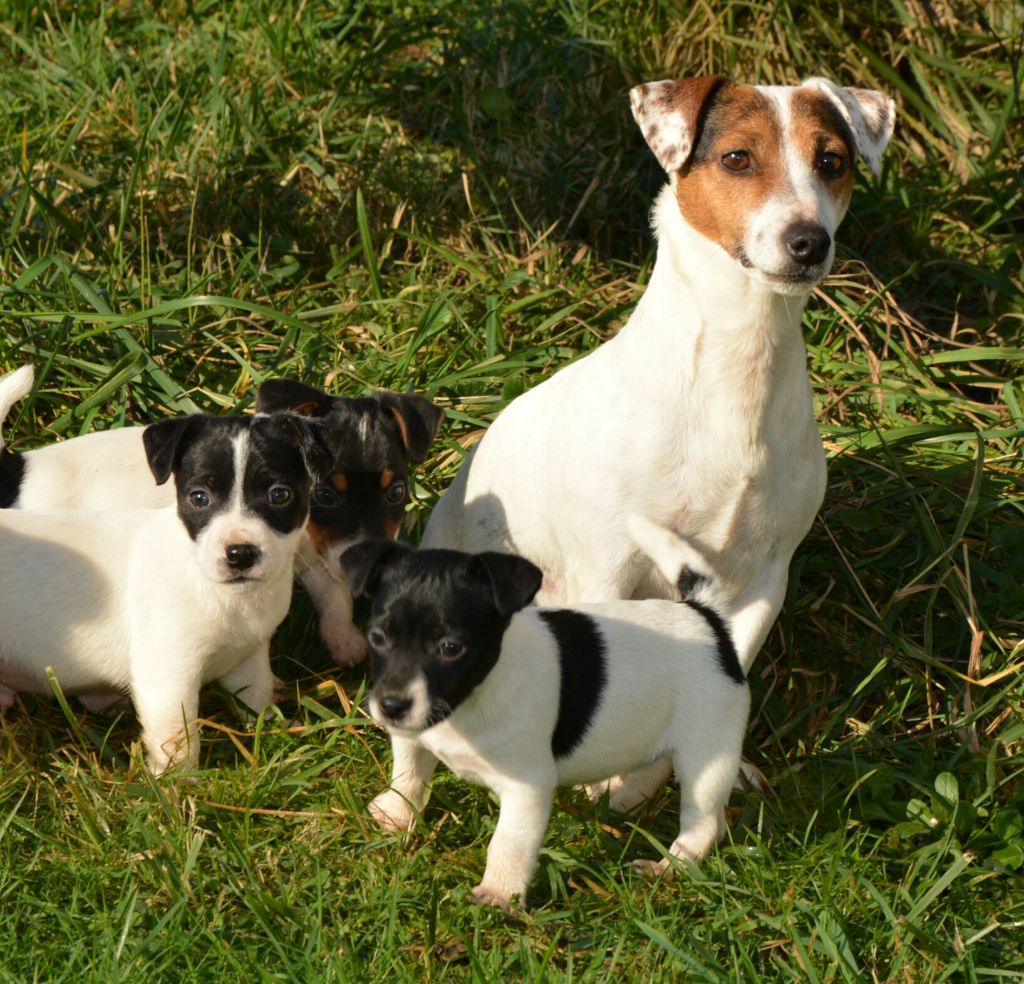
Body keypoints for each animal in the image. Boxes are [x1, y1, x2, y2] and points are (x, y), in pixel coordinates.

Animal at [0, 411, 325, 769]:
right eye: (199, 497)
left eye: (279, 495)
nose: (240, 554)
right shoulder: (169, 675)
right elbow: (178, 739)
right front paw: (179, 780)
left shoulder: (248, 657)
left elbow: (257, 696)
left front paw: (270, 733)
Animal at [339, 518, 749, 909]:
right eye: (377, 637)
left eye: (451, 647)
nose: (391, 705)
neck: (471, 700)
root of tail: (705, 616)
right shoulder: (414, 736)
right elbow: (408, 773)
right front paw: (396, 814)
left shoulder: (527, 787)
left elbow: (508, 844)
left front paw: (499, 894)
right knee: (652, 766)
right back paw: (622, 802)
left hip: (706, 754)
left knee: (704, 823)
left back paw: (669, 867)